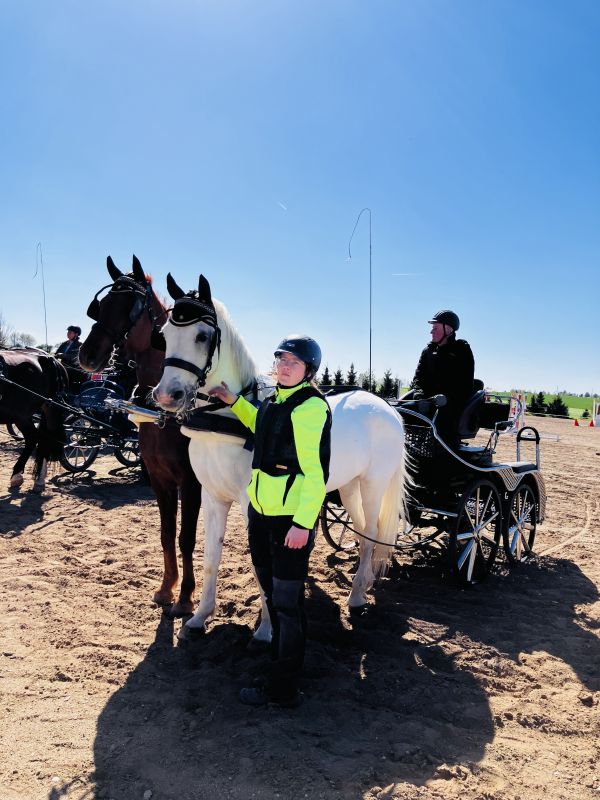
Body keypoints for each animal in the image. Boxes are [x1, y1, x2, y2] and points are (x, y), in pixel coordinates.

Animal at [0, 347, 68, 491]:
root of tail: (47, 357)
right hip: (30, 413)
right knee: (38, 437)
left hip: (33, 412)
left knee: (39, 438)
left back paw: (28, 477)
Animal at [78, 255, 202, 617]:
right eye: (102, 305)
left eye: (130, 308)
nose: (87, 355)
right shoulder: (160, 479)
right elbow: (166, 533)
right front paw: (166, 589)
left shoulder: (191, 483)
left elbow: (186, 537)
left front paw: (186, 597)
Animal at [152, 273, 407, 644]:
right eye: (164, 335)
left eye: (202, 335)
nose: (166, 395)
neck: (222, 422)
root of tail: (388, 407)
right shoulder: (213, 498)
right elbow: (212, 558)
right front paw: (199, 617)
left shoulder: (253, 505)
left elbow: (261, 566)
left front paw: (266, 630)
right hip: (349, 487)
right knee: (362, 533)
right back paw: (361, 587)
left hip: (373, 485)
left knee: (372, 531)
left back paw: (358, 596)